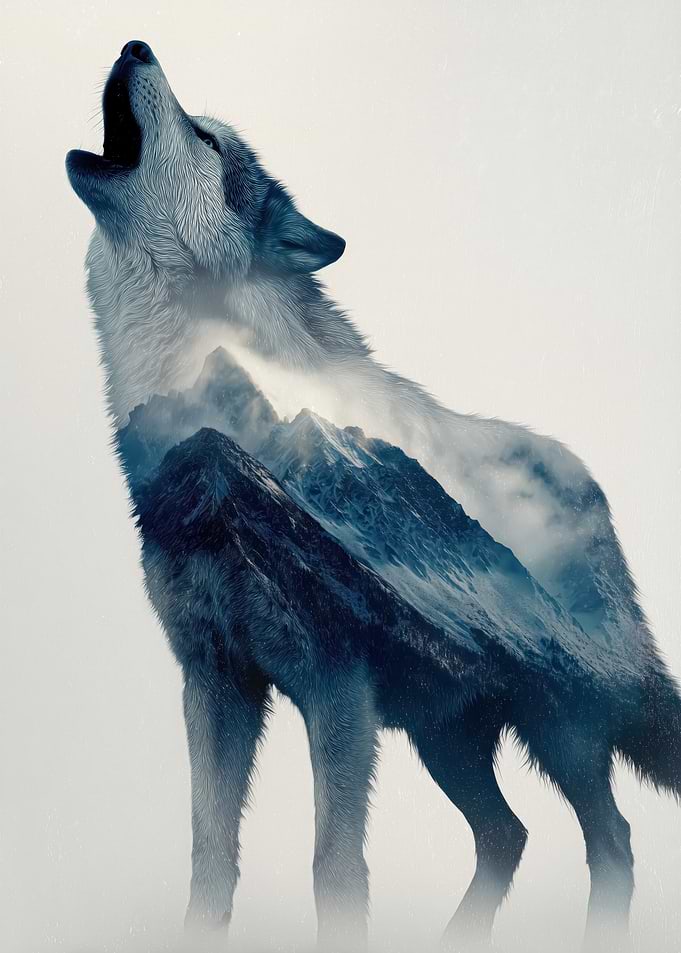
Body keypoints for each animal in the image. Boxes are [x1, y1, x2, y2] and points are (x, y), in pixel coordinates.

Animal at [67, 40, 681, 952]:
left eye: (207, 140)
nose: (135, 44)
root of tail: (590, 485)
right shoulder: (214, 683)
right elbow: (210, 858)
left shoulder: (335, 686)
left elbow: (336, 867)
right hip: (444, 735)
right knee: (508, 832)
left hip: (557, 726)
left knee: (611, 837)